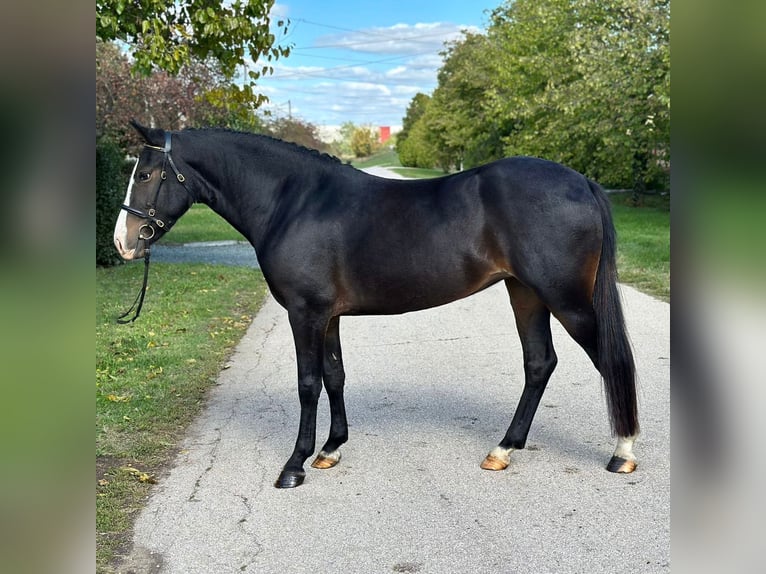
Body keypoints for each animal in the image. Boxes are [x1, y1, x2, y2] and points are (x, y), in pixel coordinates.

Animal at [114, 121, 640, 490]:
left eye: (146, 173)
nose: (123, 242)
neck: (294, 202)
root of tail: (582, 182)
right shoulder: (328, 316)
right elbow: (335, 376)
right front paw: (330, 449)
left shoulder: (304, 313)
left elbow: (307, 384)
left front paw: (294, 465)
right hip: (524, 293)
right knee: (539, 363)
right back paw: (504, 449)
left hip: (565, 298)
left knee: (609, 360)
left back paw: (623, 452)